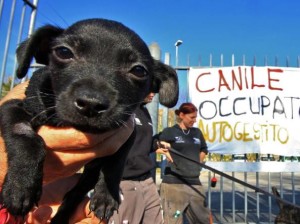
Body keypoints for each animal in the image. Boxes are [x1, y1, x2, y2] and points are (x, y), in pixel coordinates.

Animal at [0, 18, 178, 223]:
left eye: (139, 70)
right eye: (64, 52)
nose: (91, 104)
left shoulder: (126, 134)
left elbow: (115, 163)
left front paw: (106, 196)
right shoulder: (13, 107)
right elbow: (27, 137)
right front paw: (21, 186)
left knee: (75, 194)